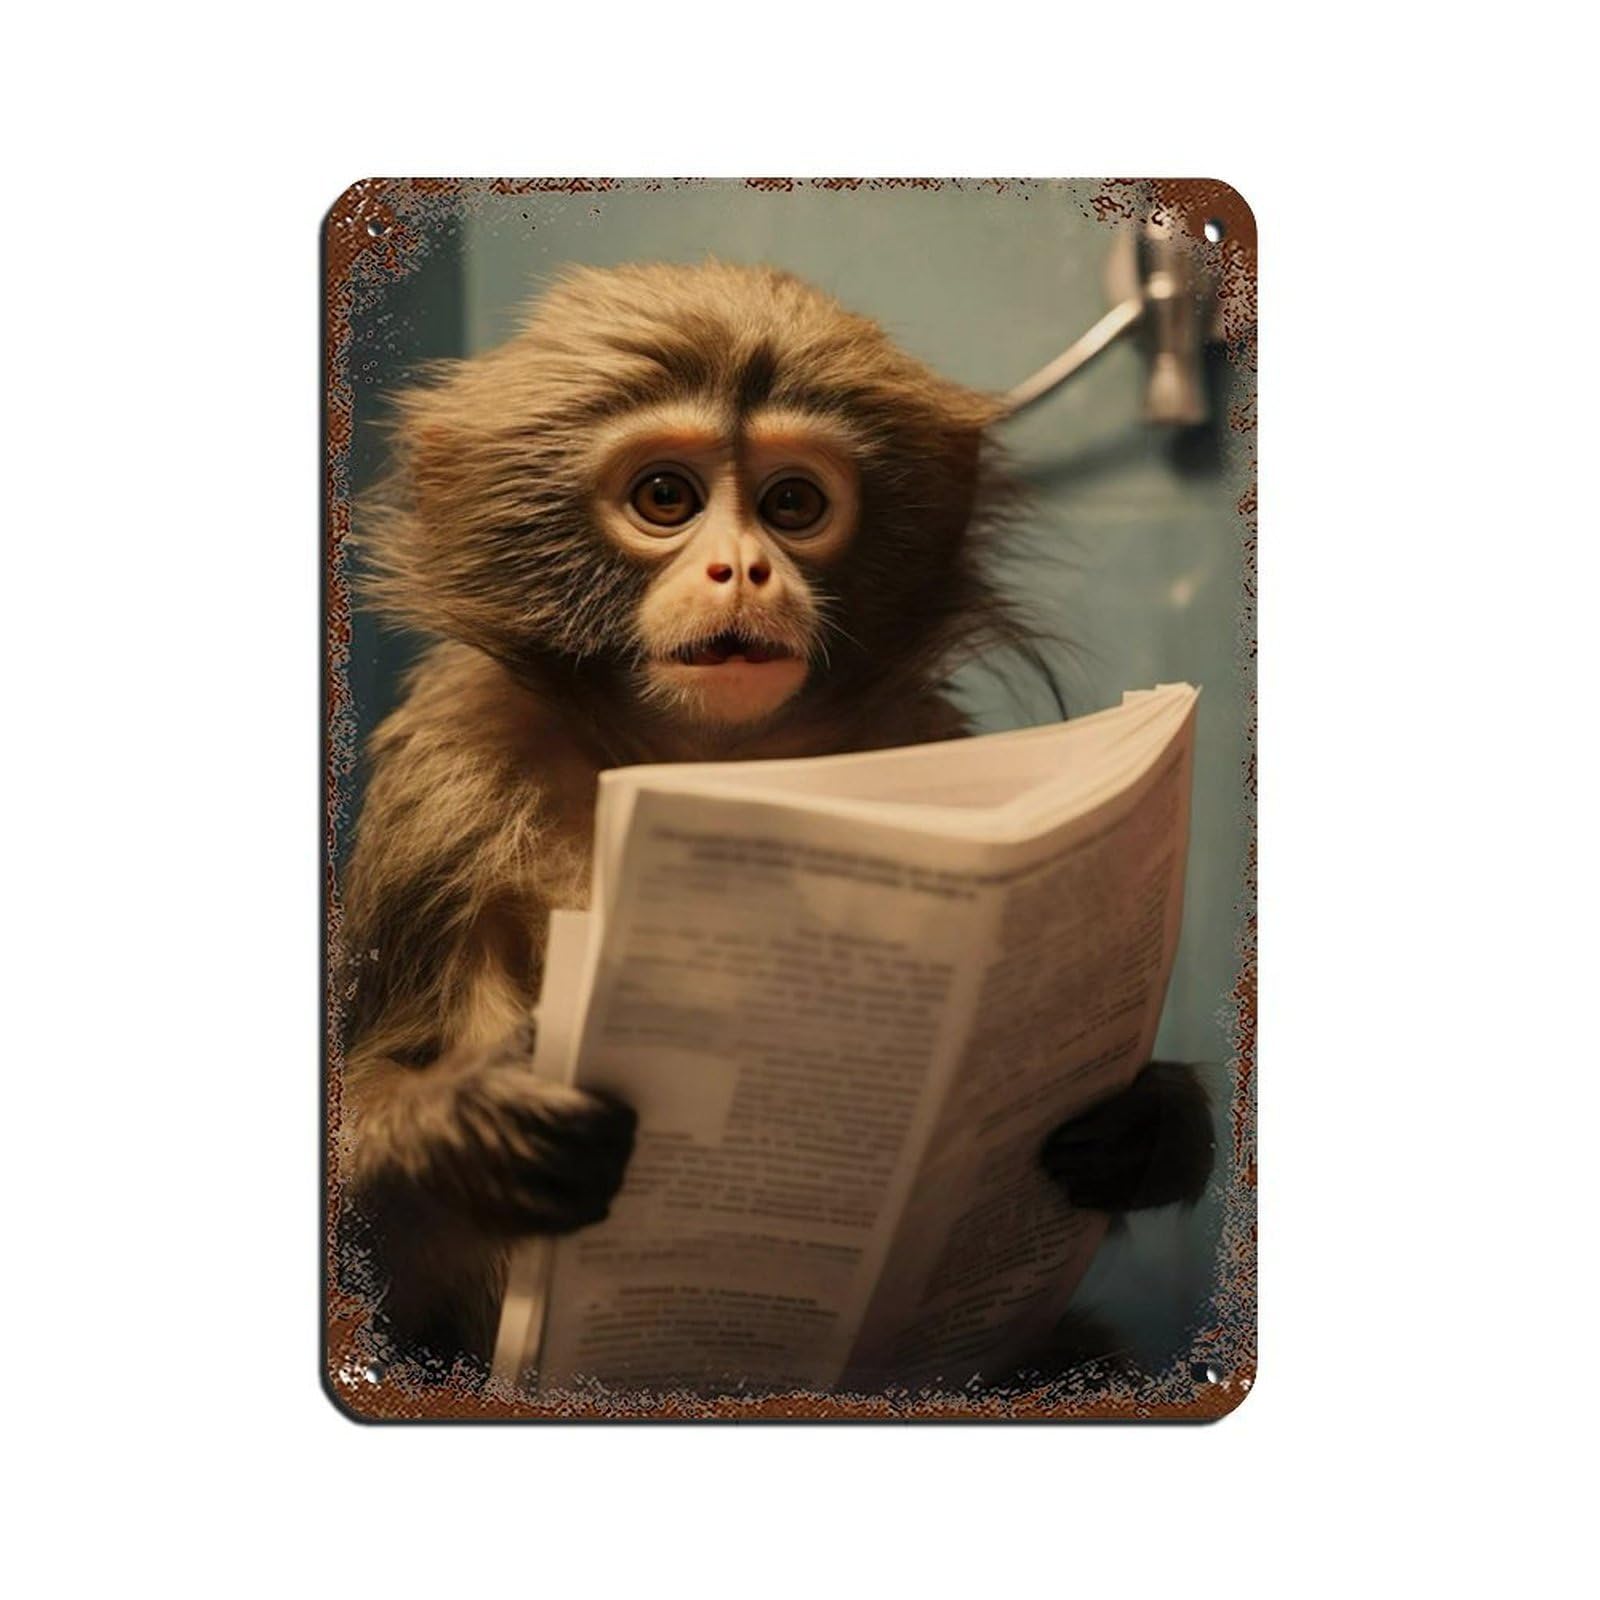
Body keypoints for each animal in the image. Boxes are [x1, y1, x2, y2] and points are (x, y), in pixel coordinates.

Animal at [335, 259, 1215, 1384]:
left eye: (793, 503)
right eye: (665, 496)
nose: (743, 569)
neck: (699, 763)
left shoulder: (921, 734)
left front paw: (1148, 1120)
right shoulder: (443, 785)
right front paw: (467, 1127)